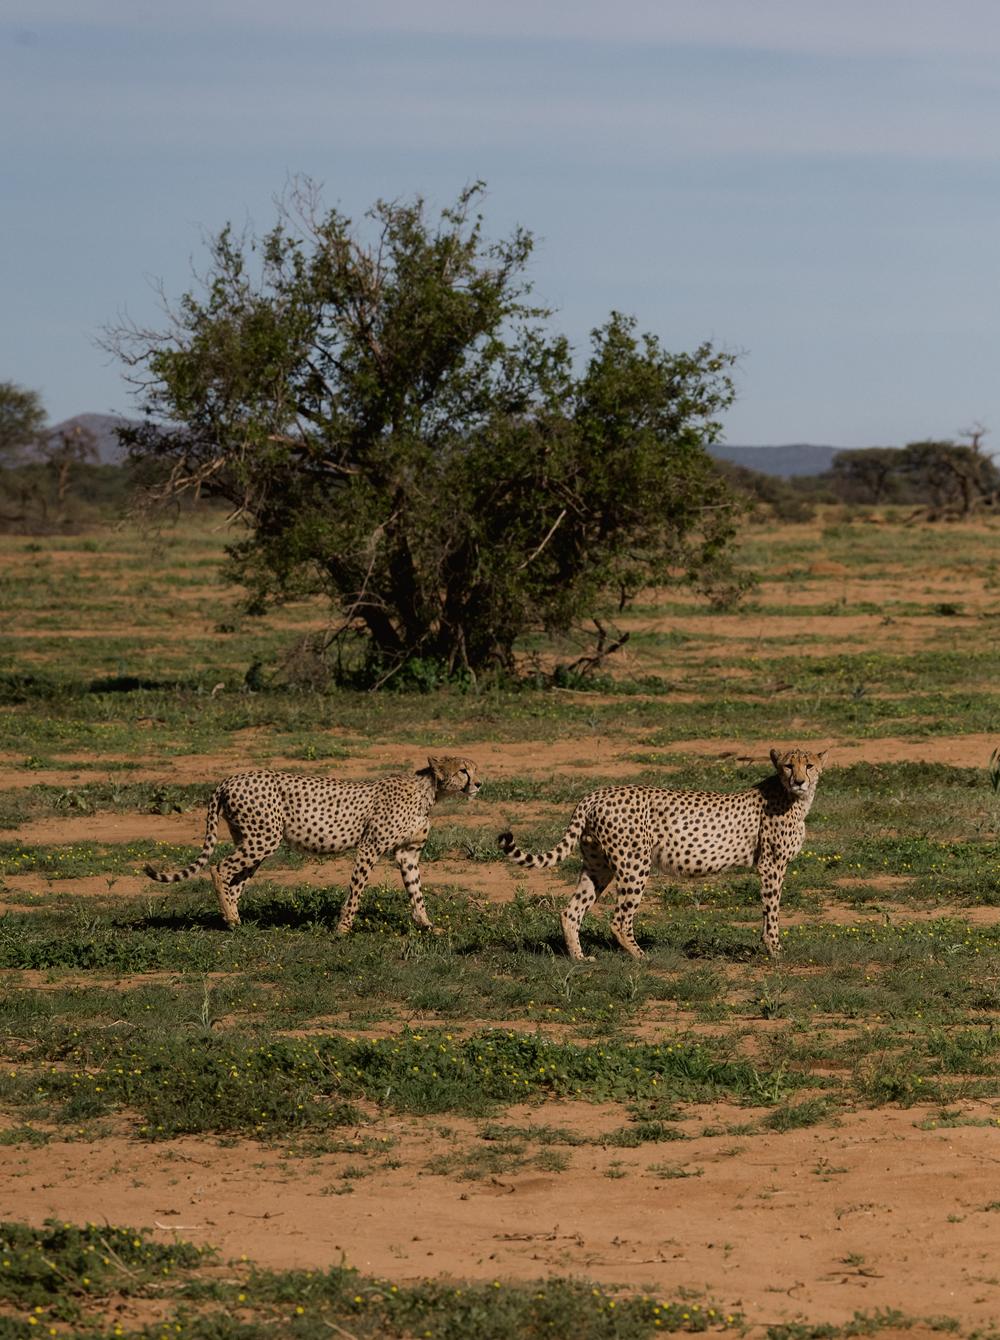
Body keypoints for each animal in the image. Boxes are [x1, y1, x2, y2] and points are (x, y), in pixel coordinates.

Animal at [143, 755, 479, 932]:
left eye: (474, 768)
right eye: (463, 770)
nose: (478, 783)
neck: (429, 792)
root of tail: (230, 779)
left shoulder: (407, 854)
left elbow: (416, 892)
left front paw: (427, 925)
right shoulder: (369, 848)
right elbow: (356, 891)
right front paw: (343, 929)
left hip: (253, 839)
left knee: (235, 881)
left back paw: (233, 920)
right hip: (263, 838)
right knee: (219, 868)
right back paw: (231, 917)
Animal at [495, 750, 820, 959]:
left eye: (810, 765)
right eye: (788, 766)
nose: (799, 781)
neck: (793, 798)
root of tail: (595, 794)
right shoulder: (771, 865)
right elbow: (772, 909)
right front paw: (774, 950)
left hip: (598, 865)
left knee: (571, 910)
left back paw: (579, 958)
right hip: (634, 863)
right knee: (619, 919)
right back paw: (641, 957)